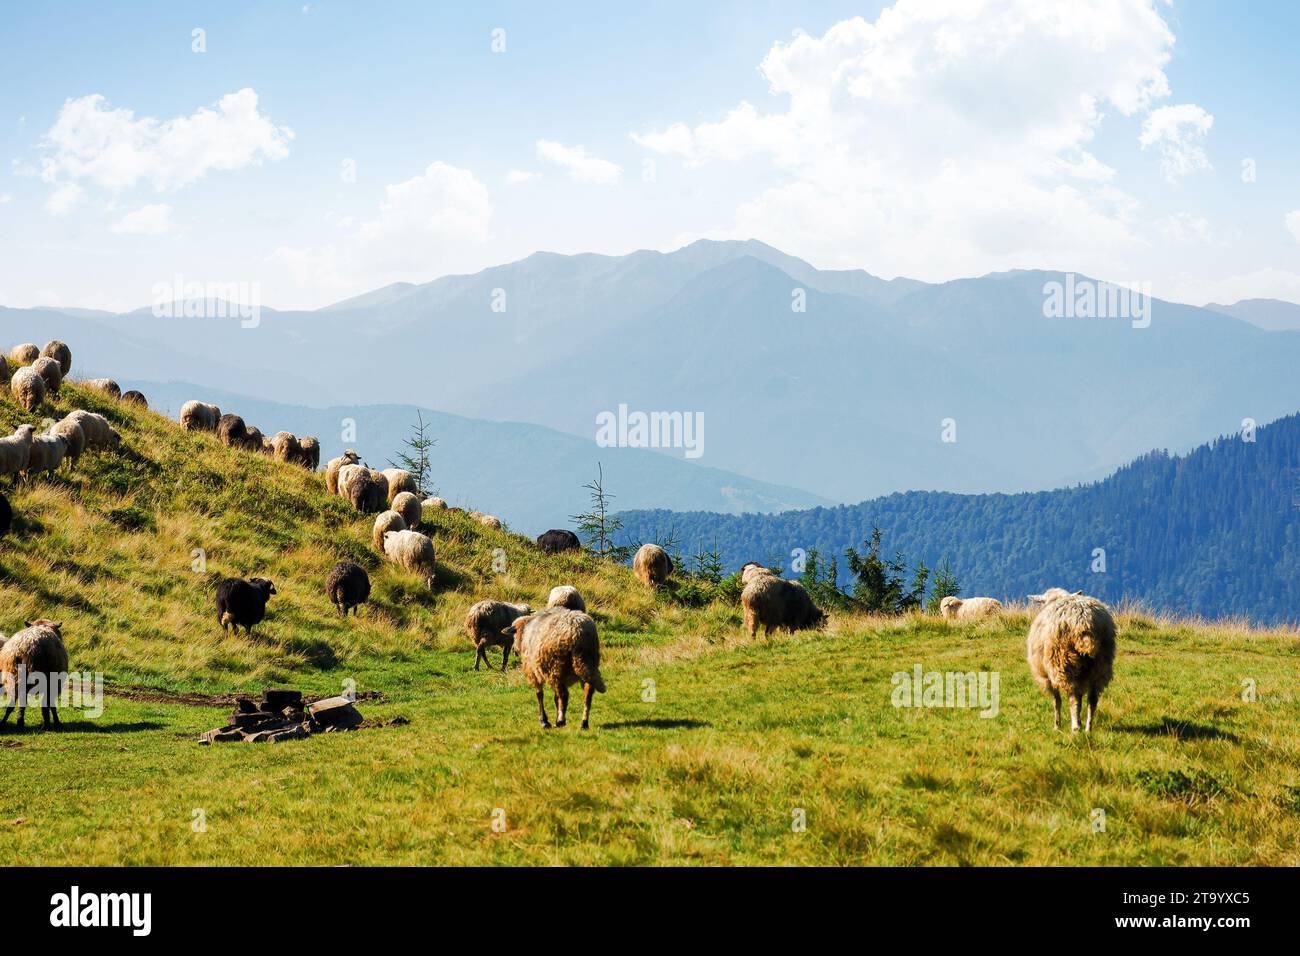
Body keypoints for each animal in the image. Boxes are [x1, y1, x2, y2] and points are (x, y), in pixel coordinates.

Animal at [1026, 589, 1116, 733]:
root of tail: (1083, 620)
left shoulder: (1048, 677)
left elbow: (1056, 701)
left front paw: (1057, 725)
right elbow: (1080, 698)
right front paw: (1077, 720)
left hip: (1062, 662)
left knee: (1072, 697)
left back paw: (1075, 728)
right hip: (1101, 665)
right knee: (1092, 699)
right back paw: (1088, 728)